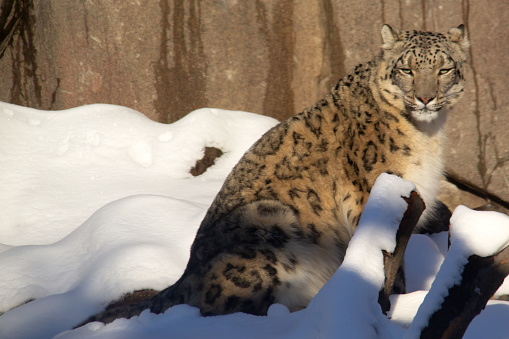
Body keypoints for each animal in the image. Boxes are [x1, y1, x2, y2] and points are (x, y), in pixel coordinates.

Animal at [77, 23, 470, 326]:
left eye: (444, 69)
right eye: (407, 69)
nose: (425, 98)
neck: (428, 133)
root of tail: (183, 277)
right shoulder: (372, 195)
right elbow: (385, 257)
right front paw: (395, 301)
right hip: (268, 224)